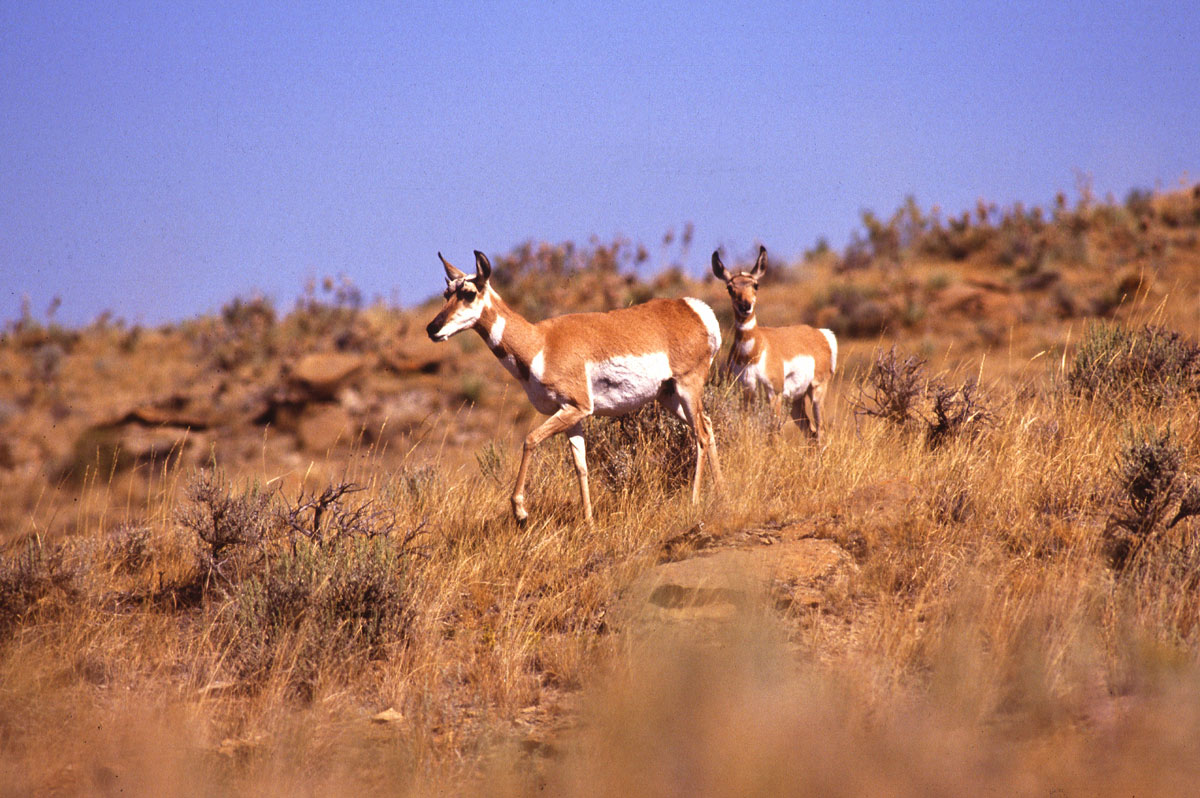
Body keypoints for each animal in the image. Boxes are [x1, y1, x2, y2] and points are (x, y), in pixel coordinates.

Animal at [424, 250, 720, 523]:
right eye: (446, 293)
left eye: (469, 293)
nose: (432, 328)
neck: (540, 343)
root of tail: (693, 309)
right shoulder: (572, 416)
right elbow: (581, 466)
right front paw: (589, 521)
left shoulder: (575, 407)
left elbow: (530, 439)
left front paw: (520, 511)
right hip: (668, 396)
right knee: (707, 425)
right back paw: (721, 489)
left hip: (687, 386)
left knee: (701, 435)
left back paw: (694, 500)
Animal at [710, 246, 835, 439]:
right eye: (730, 288)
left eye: (756, 285)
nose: (745, 306)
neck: (753, 352)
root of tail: (820, 333)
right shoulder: (746, 395)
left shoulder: (773, 394)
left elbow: (773, 433)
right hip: (796, 402)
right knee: (811, 432)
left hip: (816, 390)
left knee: (821, 430)